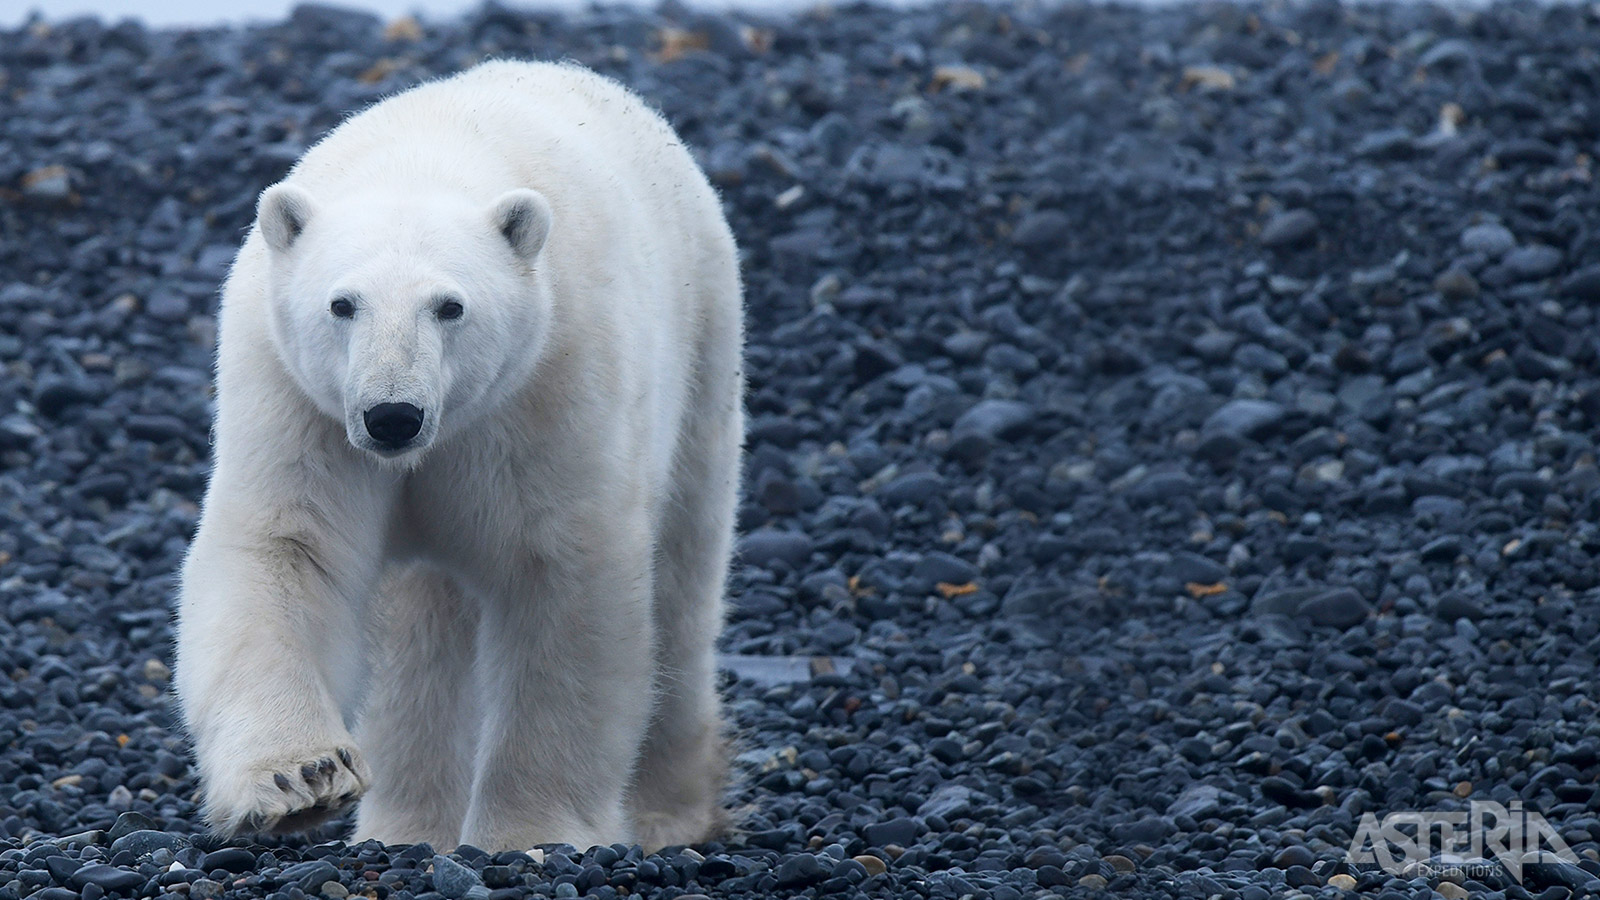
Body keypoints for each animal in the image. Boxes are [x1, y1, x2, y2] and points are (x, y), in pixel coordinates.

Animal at [172, 59, 745, 851]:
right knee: (420, 637)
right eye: (341, 304)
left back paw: (669, 810)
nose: (392, 416)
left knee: (683, 586)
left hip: (702, 352)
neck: (428, 158)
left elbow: (559, 579)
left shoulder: (547, 388)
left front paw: (531, 833)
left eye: (450, 306)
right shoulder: (297, 400)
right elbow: (288, 547)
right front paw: (300, 780)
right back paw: (408, 827)